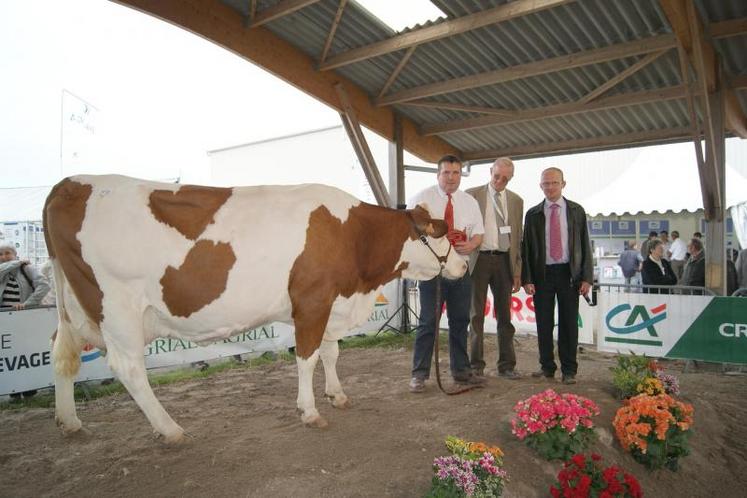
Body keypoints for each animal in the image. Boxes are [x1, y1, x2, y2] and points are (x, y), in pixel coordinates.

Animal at [43, 176, 464, 444]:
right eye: (443, 233)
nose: (462, 266)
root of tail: (69, 184)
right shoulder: (312, 301)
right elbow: (308, 357)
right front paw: (310, 410)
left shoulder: (331, 303)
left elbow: (331, 352)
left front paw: (337, 394)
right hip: (117, 307)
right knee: (128, 368)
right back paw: (171, 429)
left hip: (74, 308)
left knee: (62, 354)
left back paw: (69, 422)